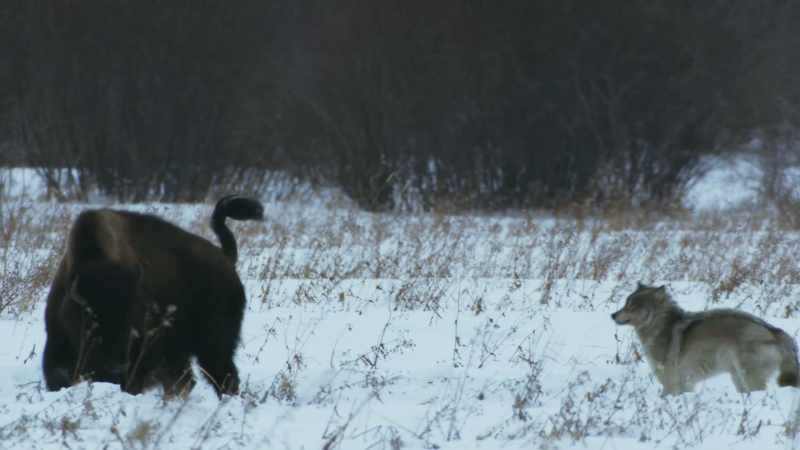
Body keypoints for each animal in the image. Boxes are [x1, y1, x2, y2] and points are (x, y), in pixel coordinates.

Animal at [611, 283, 799, 394]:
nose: (612, 315)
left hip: (748, 378)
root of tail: (775, 331)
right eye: (625, 303)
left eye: (631, 306)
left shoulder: (671, 384)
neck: (660, 325)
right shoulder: (685, 385)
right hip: (738, 379)